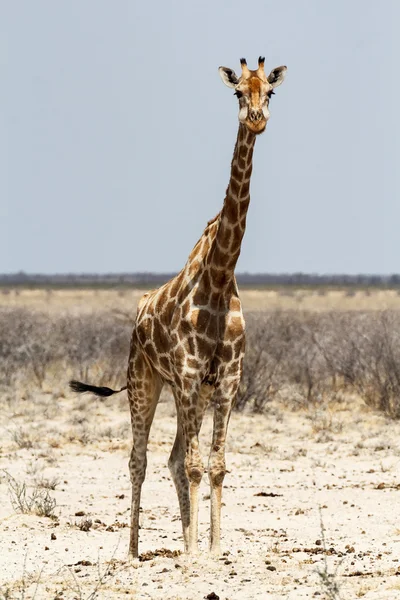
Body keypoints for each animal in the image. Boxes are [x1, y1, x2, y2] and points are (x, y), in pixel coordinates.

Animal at [70, 56, 286, 556]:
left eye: (270, 91)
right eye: (236, 92)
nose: (256, 118)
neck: (219, 278)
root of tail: (138, 315)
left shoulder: (226, 381)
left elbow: (216, 465)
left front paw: (212, 550)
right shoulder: (187, 376)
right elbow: (193, 465)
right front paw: (194, 557)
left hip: (190, 393)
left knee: (171, 459)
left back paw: (184, 543)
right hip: (145, 381)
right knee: (140, 458)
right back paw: (133, 552)